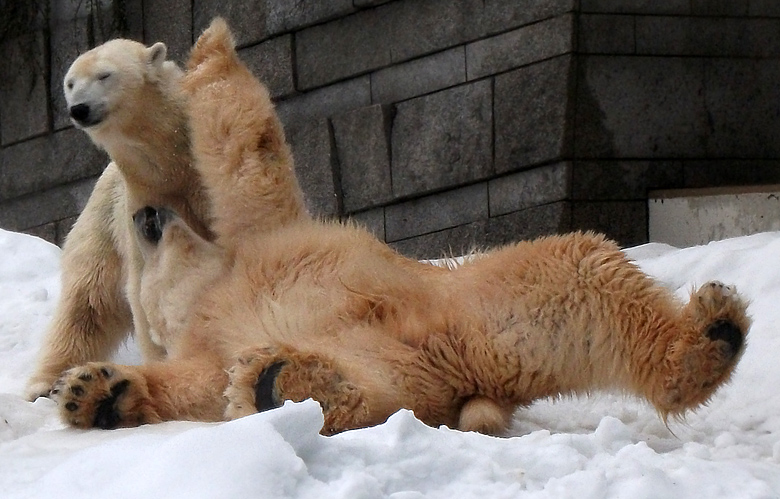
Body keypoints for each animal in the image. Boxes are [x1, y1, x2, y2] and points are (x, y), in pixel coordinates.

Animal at [25, 32, 310, 402]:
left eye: (104, 75)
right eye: (70, 83)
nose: (80, 109)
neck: (173, 163)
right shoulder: (143, 200)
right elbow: (147, 281)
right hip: (101, 223)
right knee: (87, 301)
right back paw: (45, 385)